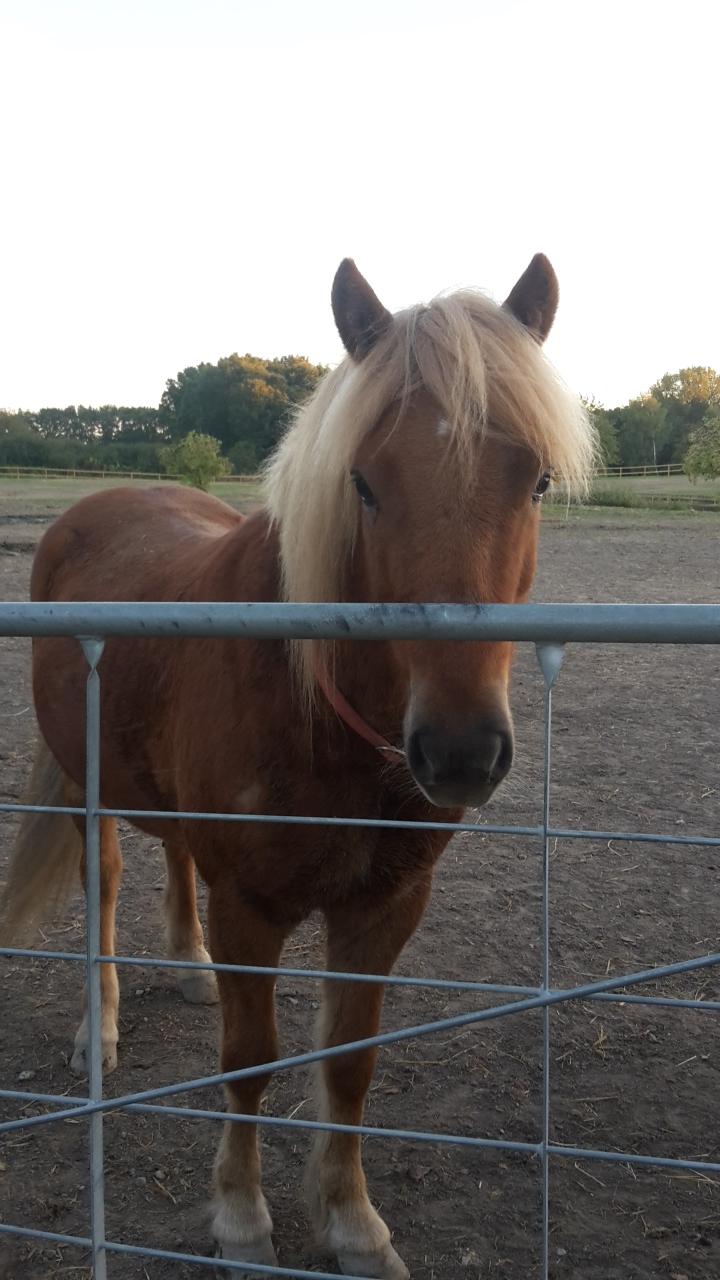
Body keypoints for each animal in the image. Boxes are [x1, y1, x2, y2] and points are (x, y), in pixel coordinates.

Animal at [1, 254, 594, 1274]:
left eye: (538, 482)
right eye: (363, 482)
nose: (461, 750)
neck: (323, 719)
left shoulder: (386, 906)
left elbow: (348, 1062)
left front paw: (353, 1223)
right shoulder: (254, 907)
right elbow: (249, 1059)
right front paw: (241, 1217)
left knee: (176, 853)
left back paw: (188, 965)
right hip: (87, 785)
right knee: (104, 885)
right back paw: (100, 1027)